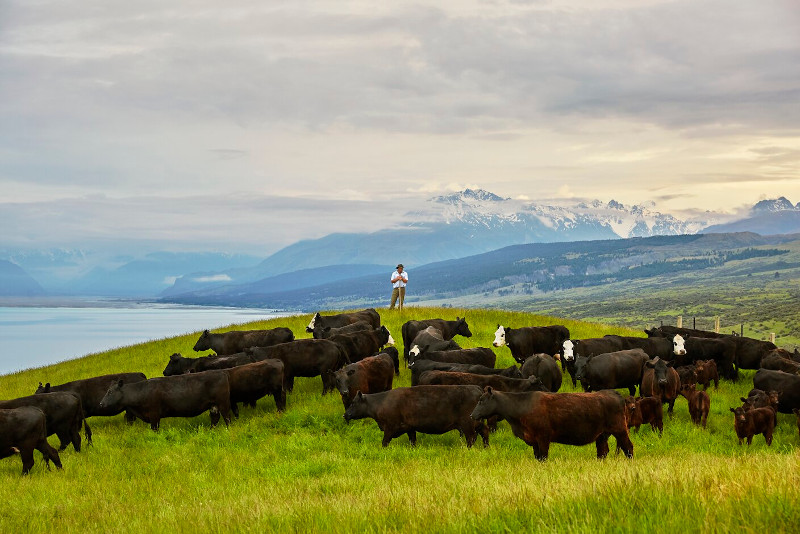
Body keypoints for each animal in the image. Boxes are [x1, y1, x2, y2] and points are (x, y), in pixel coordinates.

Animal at [98, 370, 233, 434]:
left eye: (110, 392)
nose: (101, 404)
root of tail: (221, 372)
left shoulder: (154, 414)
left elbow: (154, 429)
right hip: (213, 405)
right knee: (215, 419)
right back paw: (210, 431)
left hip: (223, 403)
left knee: (227, 418)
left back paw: (228, 430)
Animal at [344, 388, 488, 450]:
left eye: (353, 403)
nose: (345, 415)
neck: (381, 401)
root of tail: (478, 390)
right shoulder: (410, 428)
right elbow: (412, 441)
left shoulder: (390, 427)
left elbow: (384, 442)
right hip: (477, 422)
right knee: (484, 432)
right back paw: (486, 447)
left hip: (468, 423)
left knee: (471, 437)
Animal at [468, 388, 632, 462]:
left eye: (481, 400)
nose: (472, 415)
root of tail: (614, 393)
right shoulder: (533, 439)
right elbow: (537, 456)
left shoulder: (543, 437)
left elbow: (543, 456)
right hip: (602, 434)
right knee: (603, 451)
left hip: (620, 429)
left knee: (628, 447)